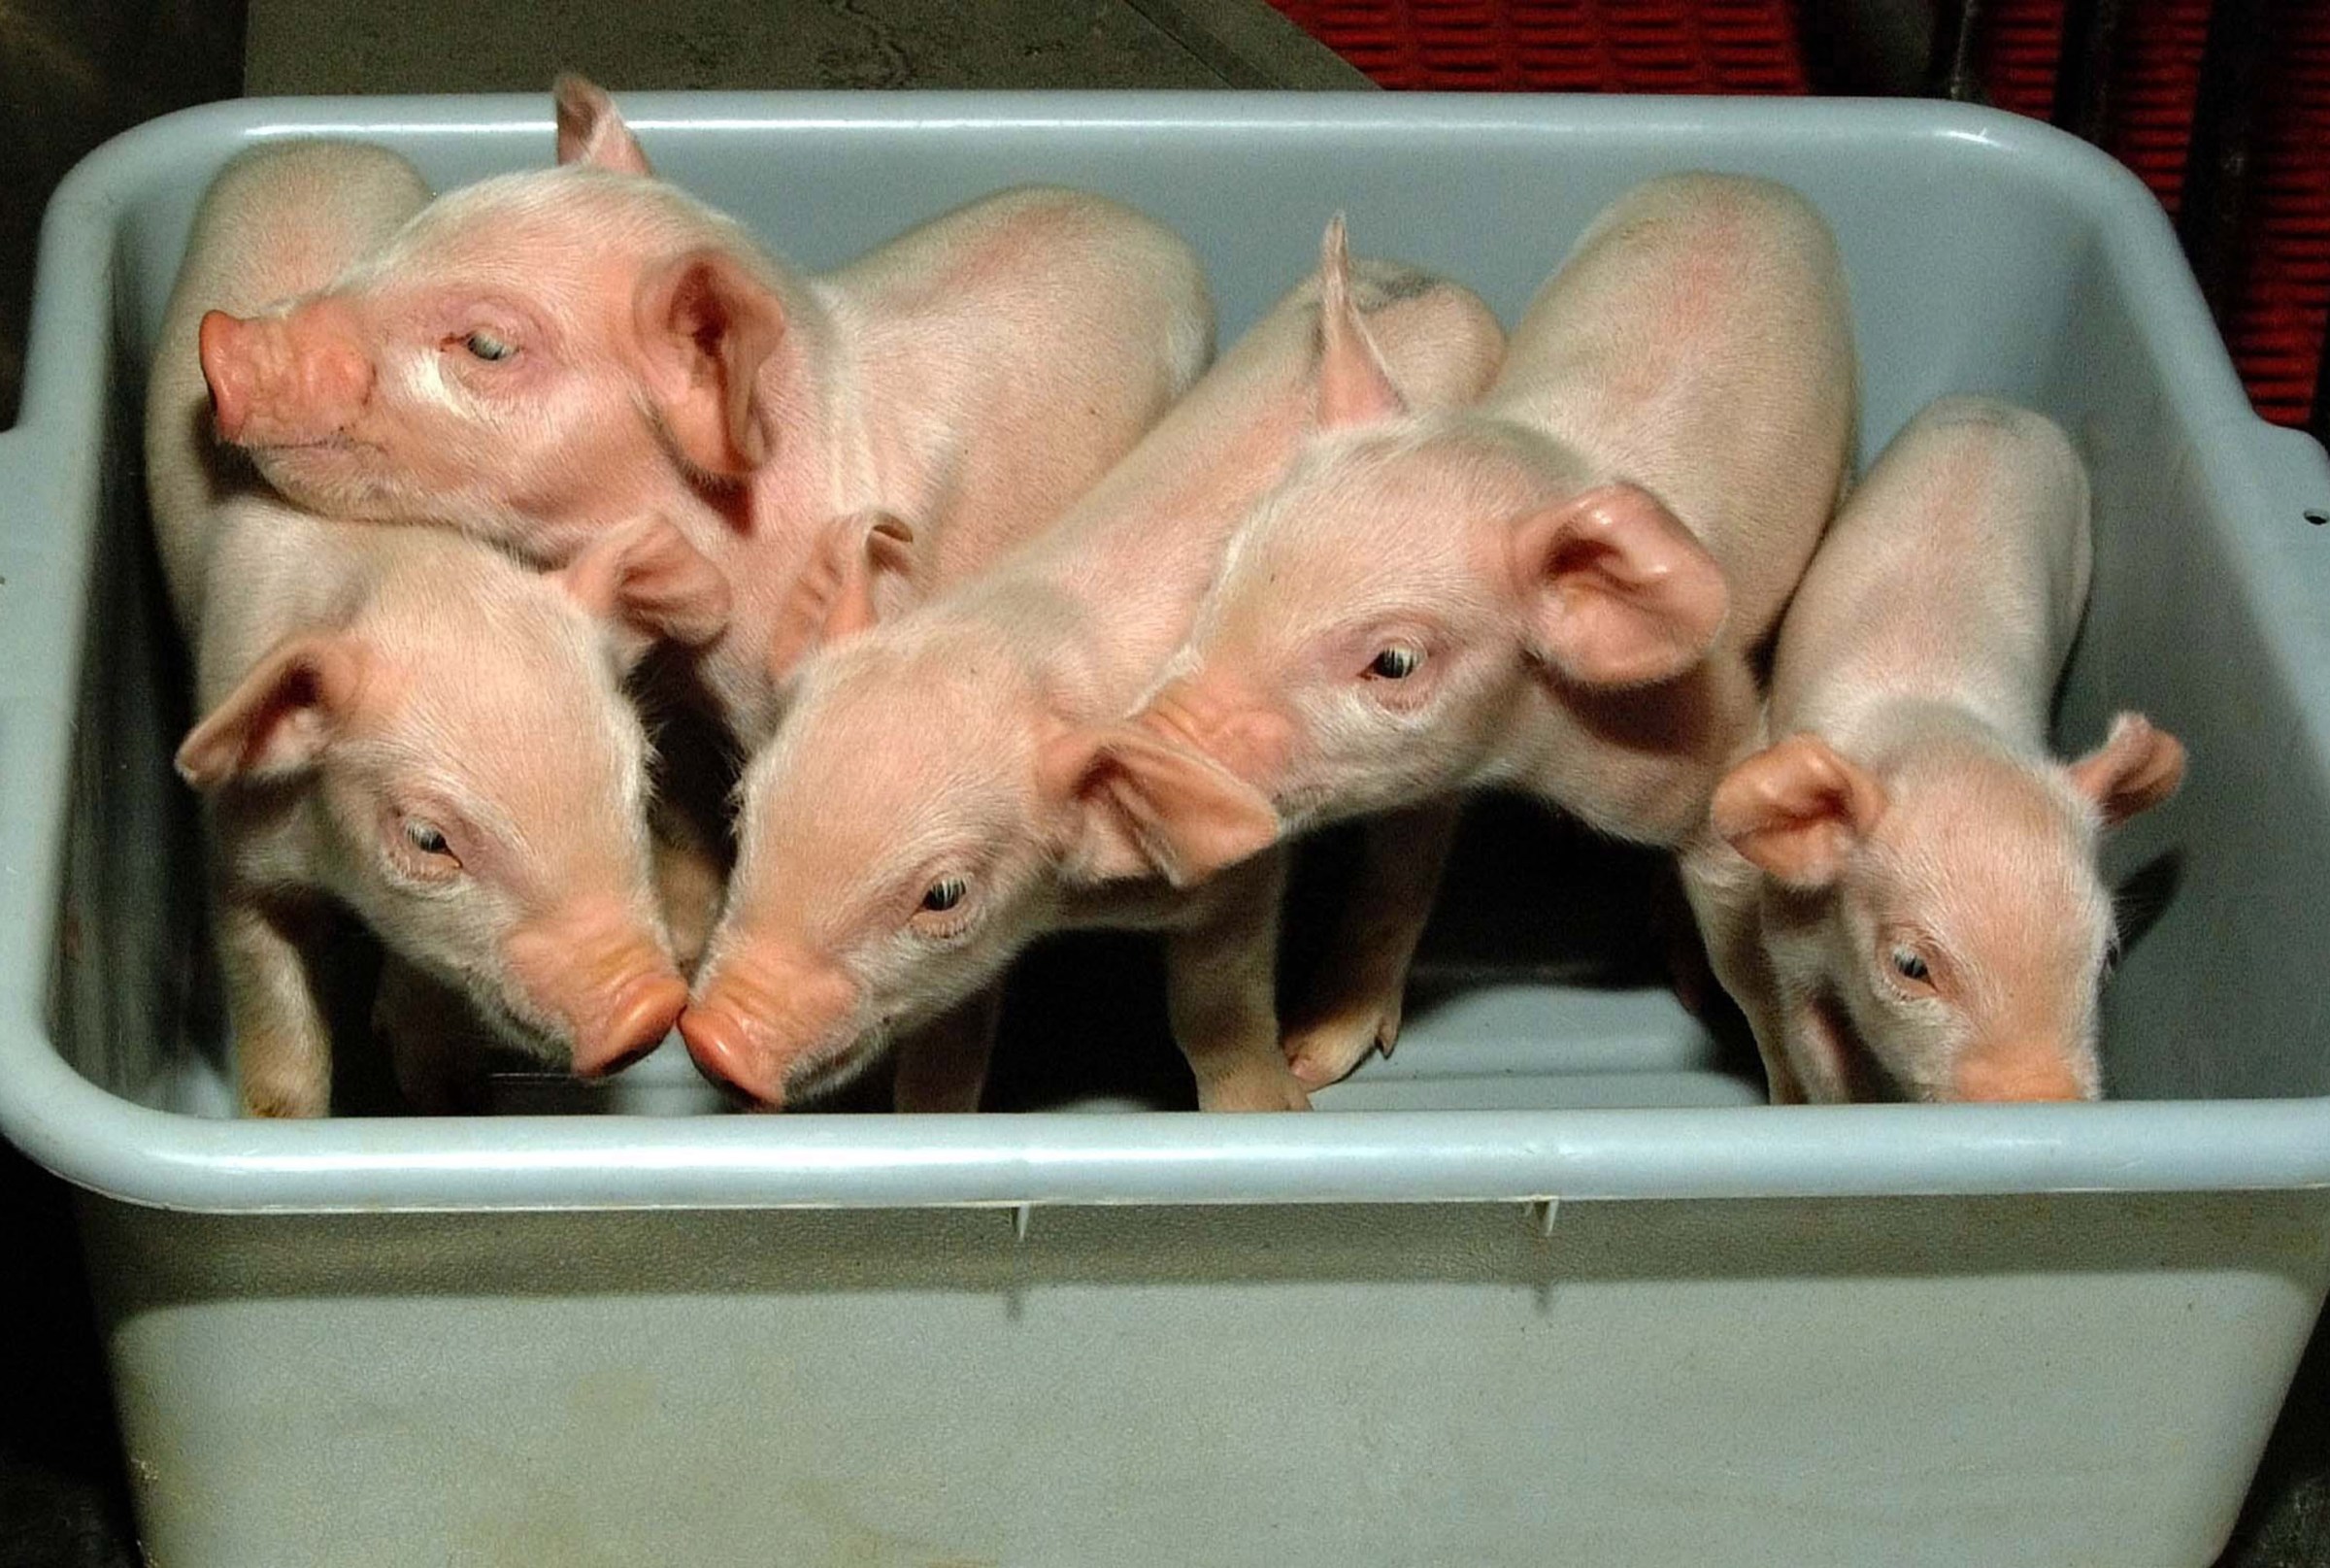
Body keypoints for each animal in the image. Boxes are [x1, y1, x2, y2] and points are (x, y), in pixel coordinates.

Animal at [150, 140, 729, 1116]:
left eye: (638, 774)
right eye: (429, 838)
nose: (647, 1010)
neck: (413, 576)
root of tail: (305, 143)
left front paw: (443, 1089)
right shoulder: (233, 849)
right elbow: (273, 1020)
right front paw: (284, 1121)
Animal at [679, 228, 1505, 1112]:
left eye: (944, 894)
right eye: (742, 810)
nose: (713, 1040)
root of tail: (1444, 284)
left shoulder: (1241, 879)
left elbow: (1213, 1006)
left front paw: (1275, 1106)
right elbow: (950, 1031)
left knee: (1412, 855)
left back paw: (1321, 1048)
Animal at [1076, 175, 1857, 1089]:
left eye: (1395, 661)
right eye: (1231, 559)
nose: (1145, 745)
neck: (1528, 755)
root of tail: (1746, 182)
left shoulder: (1716, 744)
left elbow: (1750, 957)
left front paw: (1793, 1092)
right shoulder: (1426, 770)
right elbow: (1396, 875)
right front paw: (1314, 1057)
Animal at [1703, 396, 2184, 1103]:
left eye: (2109, 957)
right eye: (1912, 965)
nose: (2042, 1099)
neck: (1933, 725)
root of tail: (1997, 406)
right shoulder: (1790, 940)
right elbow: (1821, 1060)